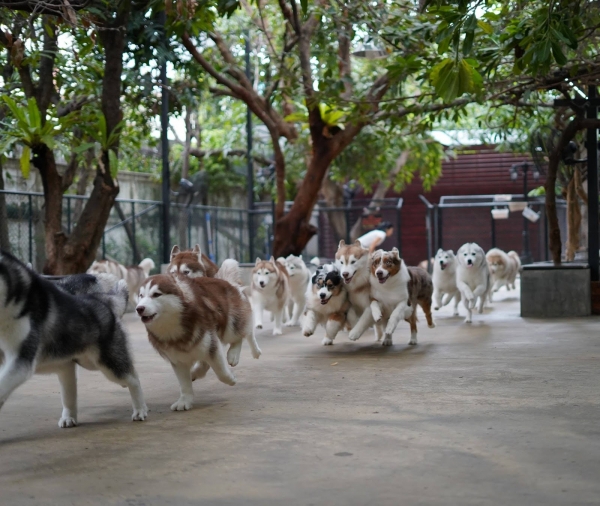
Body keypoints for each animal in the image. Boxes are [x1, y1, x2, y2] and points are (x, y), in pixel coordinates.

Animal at [0, 251, 148, 428]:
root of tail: (101, 299)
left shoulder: (22, 360)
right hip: (70, 364)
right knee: (70, 394)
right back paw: (69, 417)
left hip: (101, 363)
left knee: (133, 378)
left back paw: (140, 409)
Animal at [136, 267, 261, 412]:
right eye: (141, 295)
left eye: (156, 294)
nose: (139, 308)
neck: (173, 325)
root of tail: (225, 281)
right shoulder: (177, 358)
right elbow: (184, 383)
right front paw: (185, 400)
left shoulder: (211, 344)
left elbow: (220, 372)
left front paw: (230, 379)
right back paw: (196, 372)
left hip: (230, 324)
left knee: (243, 334)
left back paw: (238, 354)